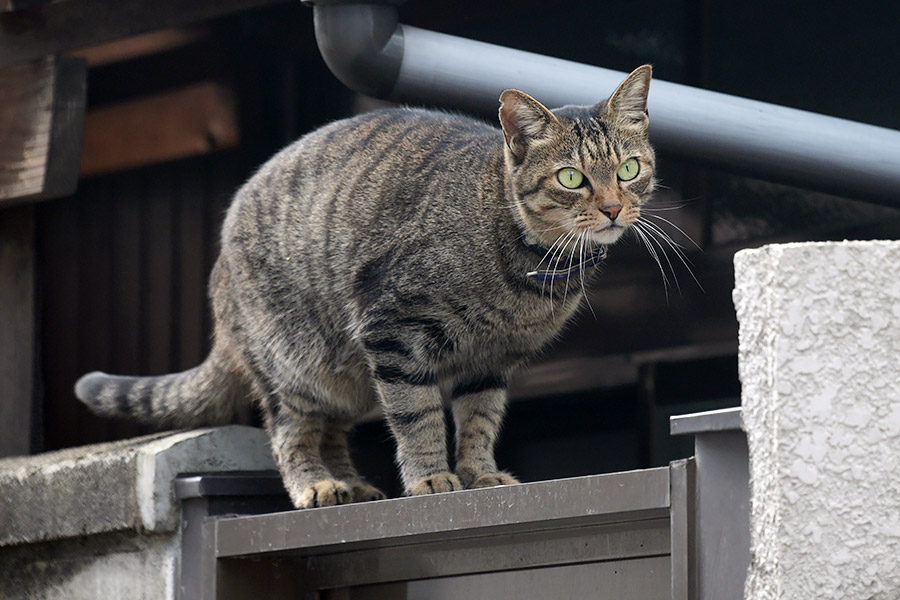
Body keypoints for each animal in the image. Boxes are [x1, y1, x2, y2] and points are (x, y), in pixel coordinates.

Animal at [75, 64, 652, 506]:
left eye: (629, 169)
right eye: (571, 178)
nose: (612, 208)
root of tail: (218, 274)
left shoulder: (491, 360)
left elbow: (480, 419)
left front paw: (479, 473)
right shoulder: (393, 329)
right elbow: (418, 416)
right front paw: (430, 477)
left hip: (344, 378)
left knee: (331, 432)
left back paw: (351, 484)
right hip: (295, 367)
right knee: (291, 434)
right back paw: (317, 485)